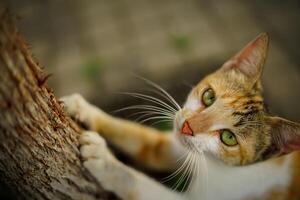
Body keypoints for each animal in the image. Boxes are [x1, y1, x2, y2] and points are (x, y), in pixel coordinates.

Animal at [61, 32, 300, 200]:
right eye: (209, 96)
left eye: (228, 138)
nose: (187, 126)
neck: (216, 167)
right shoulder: (177, 146)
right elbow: (144, 140)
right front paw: (83, 108)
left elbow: (143, 185)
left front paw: (106, 162)